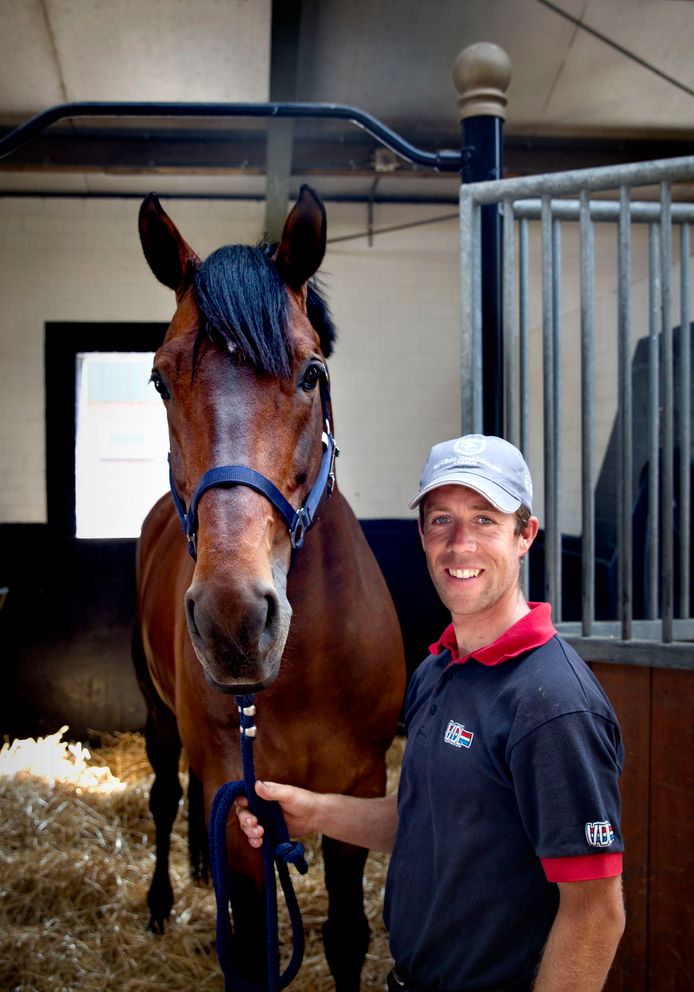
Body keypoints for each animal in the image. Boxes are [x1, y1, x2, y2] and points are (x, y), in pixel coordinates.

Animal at [132, 186, 408, 992]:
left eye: (311, 372)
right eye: (160, 379)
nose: (233, 620)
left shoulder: (357, 785)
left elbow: (347, 937)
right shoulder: (242, 804)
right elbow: (250, 949)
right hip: (157, 714)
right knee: (167, 793)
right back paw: (164, 899)